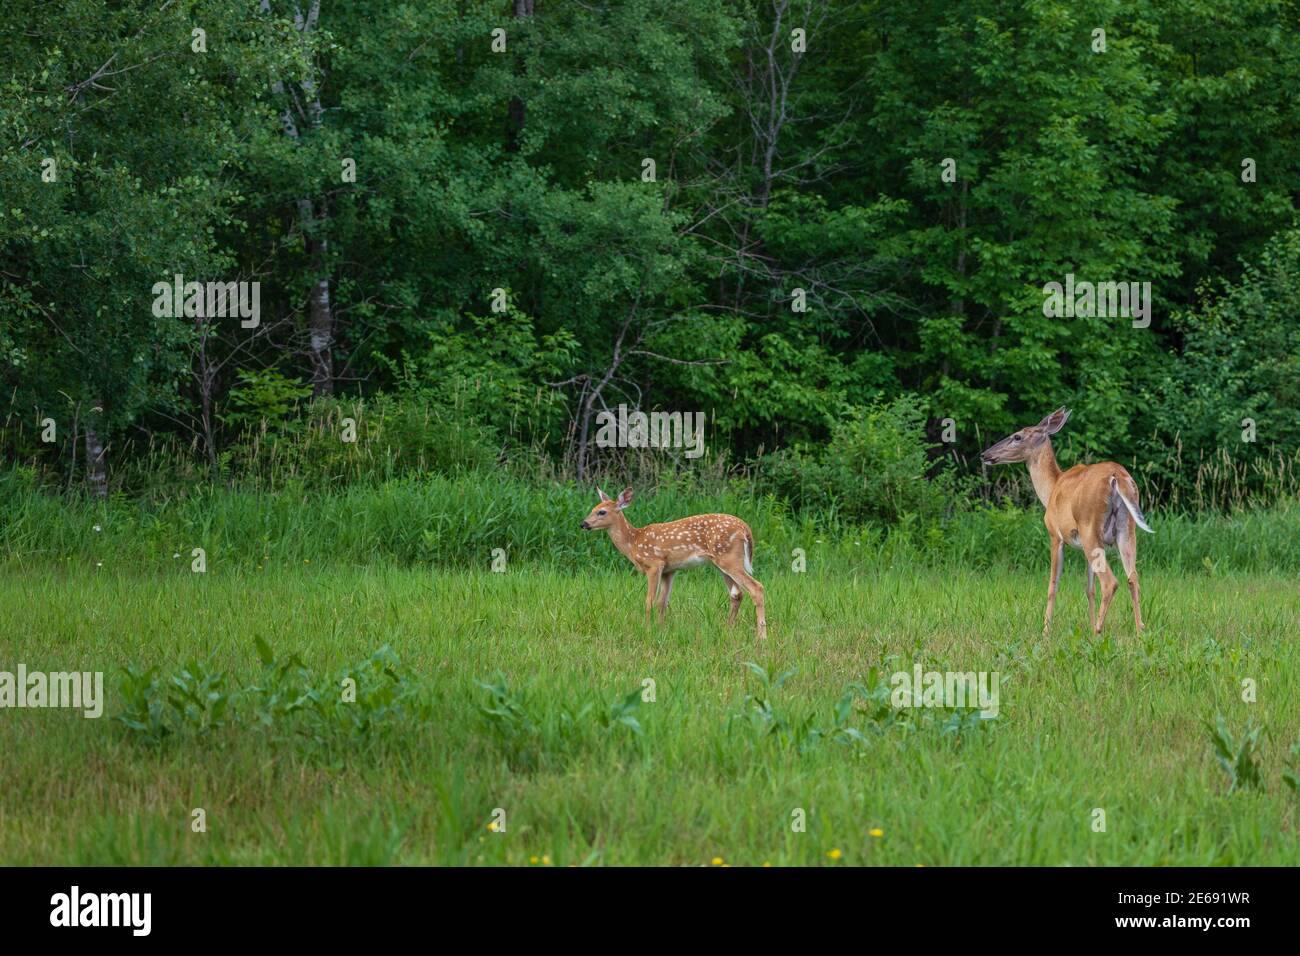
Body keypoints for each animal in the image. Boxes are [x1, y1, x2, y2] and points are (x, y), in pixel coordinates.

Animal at [577, 489, 764, 639]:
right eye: (593, 509)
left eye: (601, 512)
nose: (583, 524)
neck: (634, 541)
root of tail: (746, 529)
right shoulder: (670, 570)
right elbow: (662, 602)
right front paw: (661, 630)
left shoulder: (654, 564)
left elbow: (649, 601)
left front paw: (647, 630)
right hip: (721, 562)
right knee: (736, 594)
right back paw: (728, 629)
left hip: (728, 558)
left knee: (756, 587)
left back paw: (761, 636)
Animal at [977, 405, 1154, 634]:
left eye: (1017, 436)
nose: (985, 454)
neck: (1052, 487)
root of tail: (1118, 477)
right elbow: (1089, 589)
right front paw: (1088, 624)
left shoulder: (1055, 535)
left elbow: (1053, 585)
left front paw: (1046, 630)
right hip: (1126, 530)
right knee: (1133, 578)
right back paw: (1139, 630)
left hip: (1089, 528)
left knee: (1110, 582)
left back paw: (1098, 631)